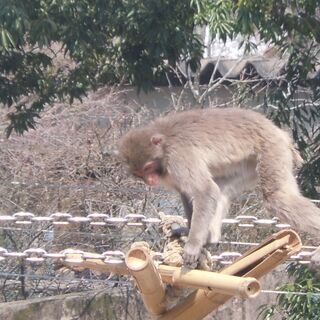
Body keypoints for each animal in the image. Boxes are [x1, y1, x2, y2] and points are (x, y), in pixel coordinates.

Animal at [117, 107, 320, 264]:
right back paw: (210, 237)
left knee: (276, 197)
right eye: (140, 174)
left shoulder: (178, 157)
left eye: (148, 168)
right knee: (221, 188)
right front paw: (192, 232)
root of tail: (279, 132)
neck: (164, 148)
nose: (150, 180)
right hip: (250, 163)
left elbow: (204, 191)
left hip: (272, 149)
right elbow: (189, 193)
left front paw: (193, 244)